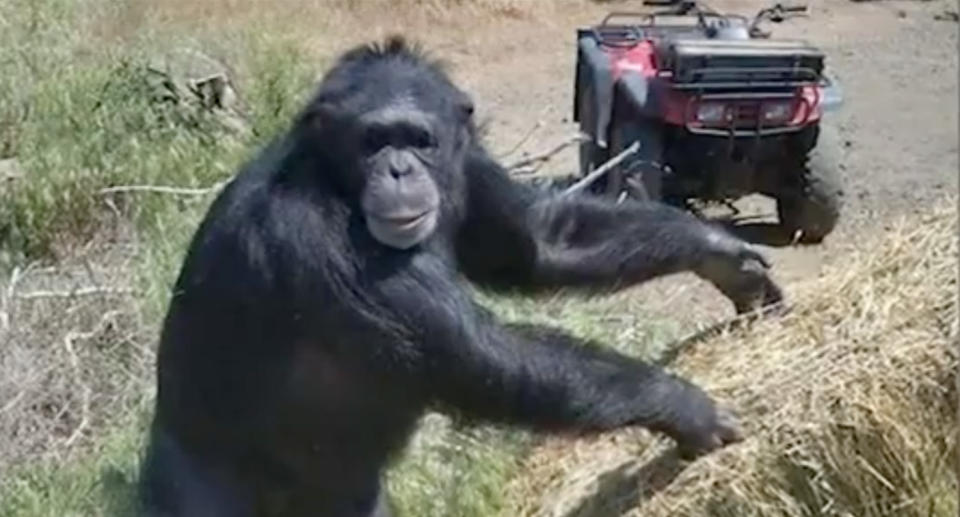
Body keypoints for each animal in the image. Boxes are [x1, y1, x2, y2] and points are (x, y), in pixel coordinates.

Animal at [139, 37, 784, 516]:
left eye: (418, 139)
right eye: (373, 141)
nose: (399, 170)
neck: (336, 181)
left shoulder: (470, 164)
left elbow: (542, 243)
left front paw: (722, 256)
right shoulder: (310, 232)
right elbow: (474, 354)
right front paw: (682, 404)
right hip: (195, 489)